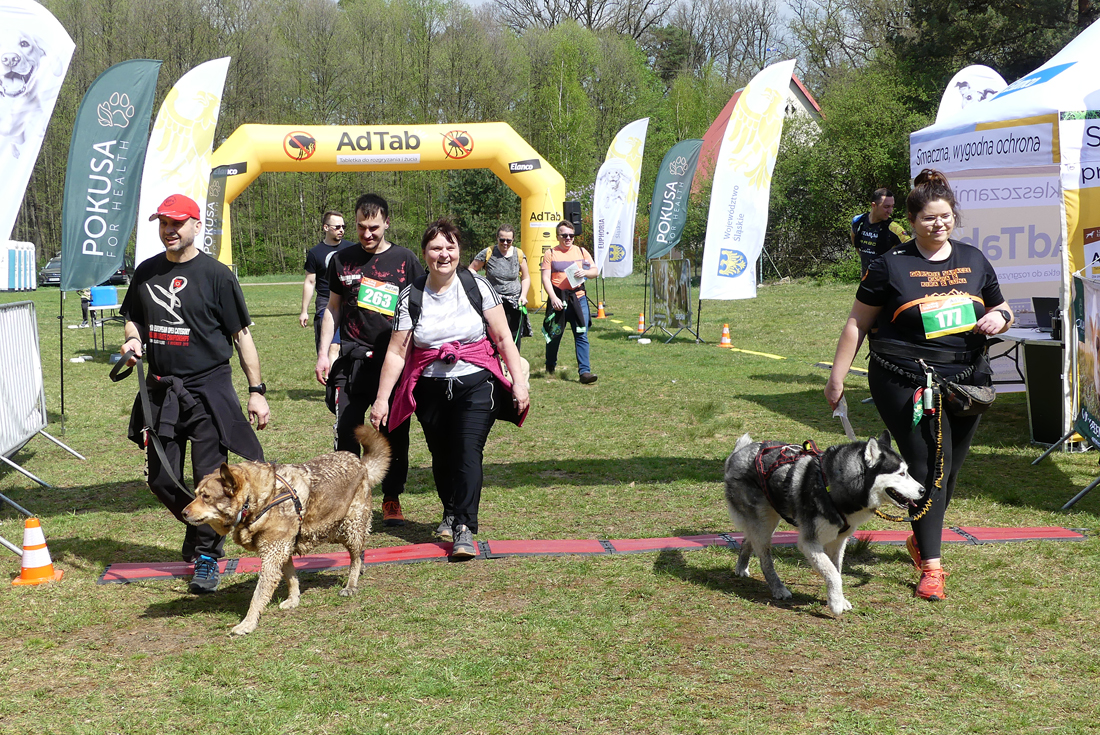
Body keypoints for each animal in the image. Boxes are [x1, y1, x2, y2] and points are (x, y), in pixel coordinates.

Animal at [182, 425, 390, 636]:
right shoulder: (282, 549)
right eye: (196, 494)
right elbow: (291, 577)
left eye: (206, 497)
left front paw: (248, 623)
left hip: (350, 527)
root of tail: (360, 463)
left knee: (355, 556)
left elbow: (258, 594)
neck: (258, 500)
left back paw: (351, 584)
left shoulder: (272, 554)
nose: (183, 512)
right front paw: (293, 599)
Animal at [723, 431, 923, 616]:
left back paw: (741, 567)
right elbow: (833, 573)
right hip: (764, 523)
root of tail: (739, 452)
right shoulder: (809, 542)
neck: (833, 486)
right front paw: (835, 605)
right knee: (765, 559)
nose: (923, 490)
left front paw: (839, 599)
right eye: (901, 473)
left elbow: (837, 571)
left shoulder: (838, 541)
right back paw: (778, 588)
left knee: (748, 539)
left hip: (769, 519)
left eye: (907, 471)